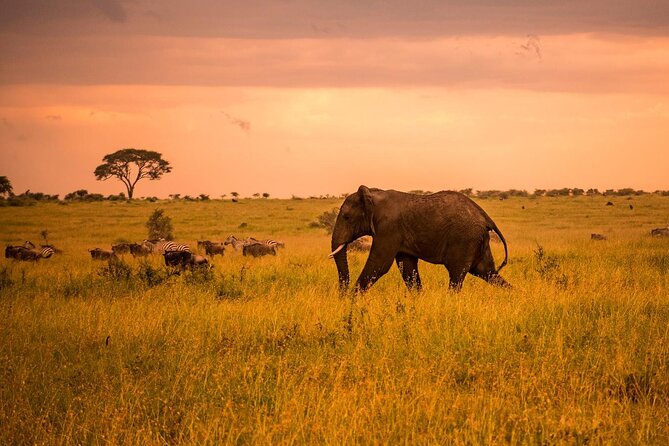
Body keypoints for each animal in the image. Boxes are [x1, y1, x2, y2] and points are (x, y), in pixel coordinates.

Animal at [329, 186, 510, 292]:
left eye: (346, 217)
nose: (341, 294)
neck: (373, 194)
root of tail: (485, 217)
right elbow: (407, 268)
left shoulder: (388, 228)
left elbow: (379, 265)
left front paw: (350, 301)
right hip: (478, 240)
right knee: (487, 272)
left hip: (465, 239)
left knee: (457, 276)